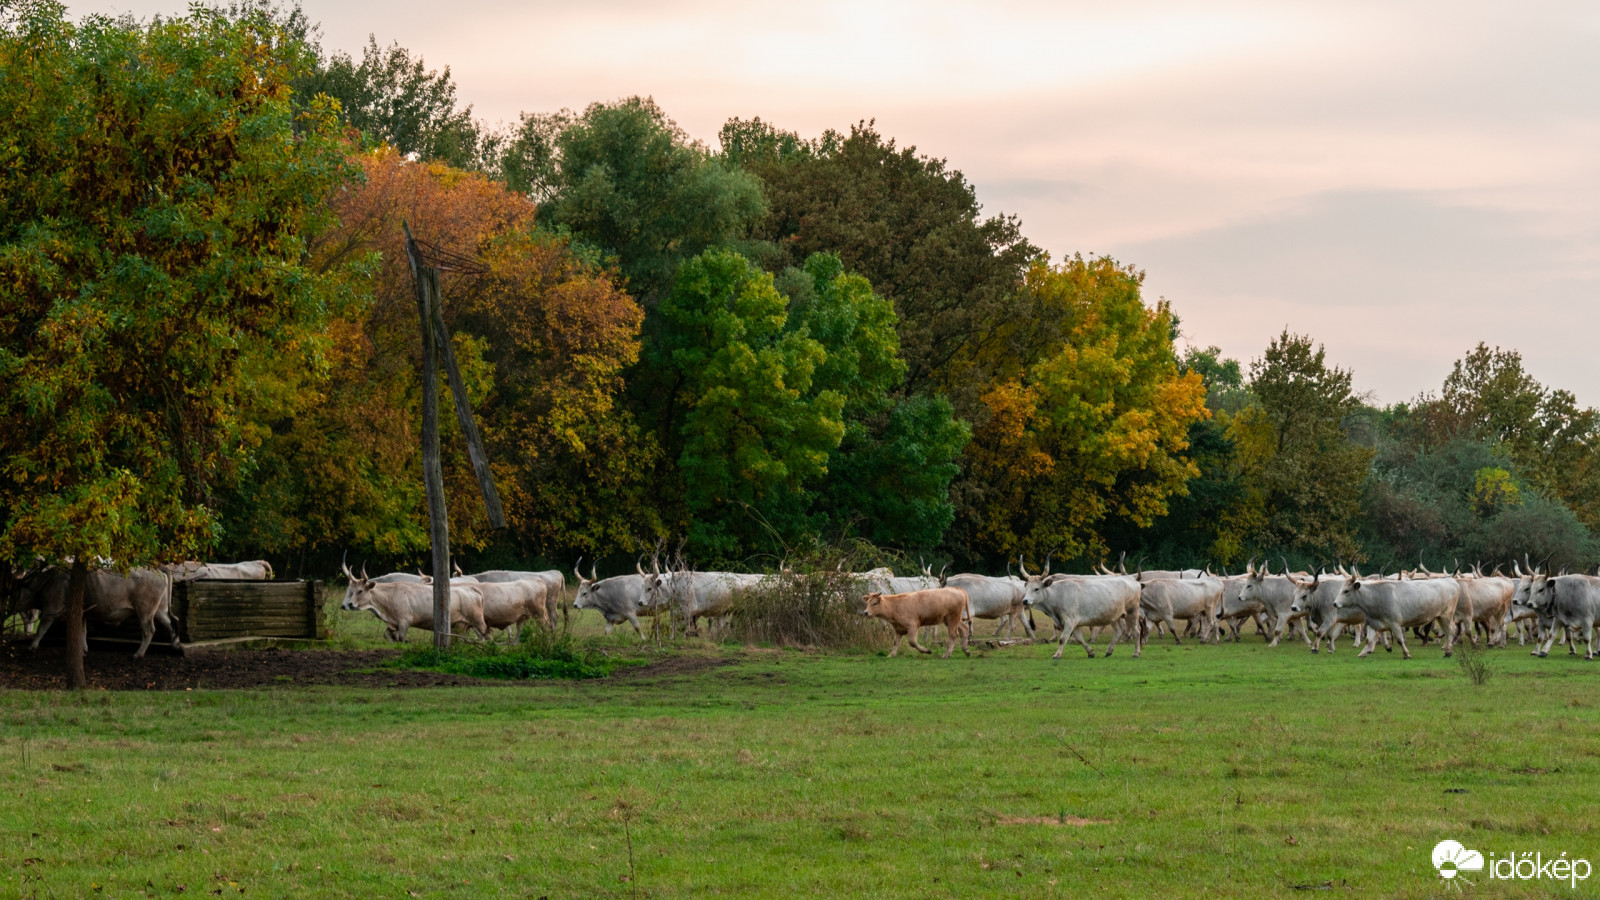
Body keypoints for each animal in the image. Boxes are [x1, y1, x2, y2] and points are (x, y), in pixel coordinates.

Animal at [22, 563, 180, 656]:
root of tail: (156, 569)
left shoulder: (51, 608)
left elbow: (41, 629)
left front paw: (32, 647)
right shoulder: (82, 612)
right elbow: (82, 631)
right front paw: (84, 649)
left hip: (145, 610)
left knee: (149, 630)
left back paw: (138, 655)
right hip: (160, 609)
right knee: (170, 623)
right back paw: (175, 644)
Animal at [1017, 570, 1145, 656]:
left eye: (1036, 589)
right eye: (1026, 588)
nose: (1025, 601)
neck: (1058, 594)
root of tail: (1134, 581)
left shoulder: (1070, 620)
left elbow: (1063, 638)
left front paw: (1057, 655)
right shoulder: (1073, 623)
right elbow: (1079, 638)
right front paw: (1090, 652)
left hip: (1132, 611)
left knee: (1136, 631)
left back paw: (1136, 653)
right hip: (1114, 615)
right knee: (1119, 630)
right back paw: (1109, 651)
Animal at [1331, 570, 1459, 656]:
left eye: (1346, 591)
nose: (1335, 604)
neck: (1377, 596)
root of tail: (1450, 580)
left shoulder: (1395, 623)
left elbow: (1399, 639)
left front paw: (1406, 654)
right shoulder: (1373, 622)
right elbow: (1368, 640)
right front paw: (1362, 653)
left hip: (1447, 615)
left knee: (1451, 630)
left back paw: (1448, 651)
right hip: (1440, 616)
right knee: (1448, 631)